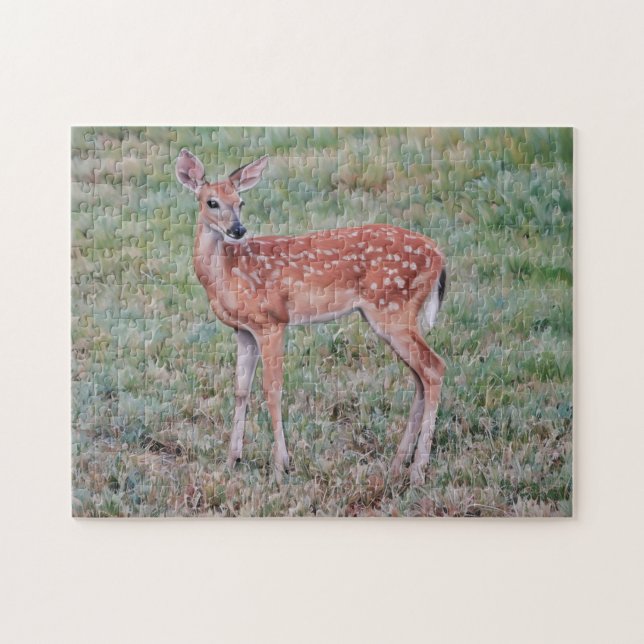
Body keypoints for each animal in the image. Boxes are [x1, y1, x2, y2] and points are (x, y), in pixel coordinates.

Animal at [175, 149, 447, 485]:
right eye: (211, 202)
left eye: (241, 201)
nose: (238, 230)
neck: (227, 274)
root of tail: (439, 255)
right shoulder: (244, 330)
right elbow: (241, 390)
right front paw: (231, 460)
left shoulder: (272, 321)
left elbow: (272, 389)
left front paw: (281, 465)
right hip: (394, 315)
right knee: (419, 377)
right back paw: (398, 464)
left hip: (393, 309)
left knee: (434, 368)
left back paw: (418, 470)